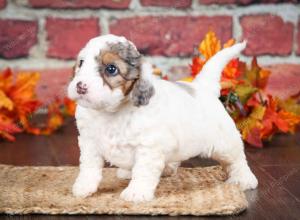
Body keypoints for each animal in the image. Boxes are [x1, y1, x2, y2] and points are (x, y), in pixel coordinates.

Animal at [68, 34, 258, 203]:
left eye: (111, 69)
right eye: (81, 63)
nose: (80, 87)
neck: (110, 112)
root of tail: (202, 87)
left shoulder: (148, 147)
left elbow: (143, 171)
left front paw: (137, 192)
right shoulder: (89, 143)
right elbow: (88, 168)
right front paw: (83, 187)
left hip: (225, 143)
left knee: (237, 159)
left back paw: (244, 179)